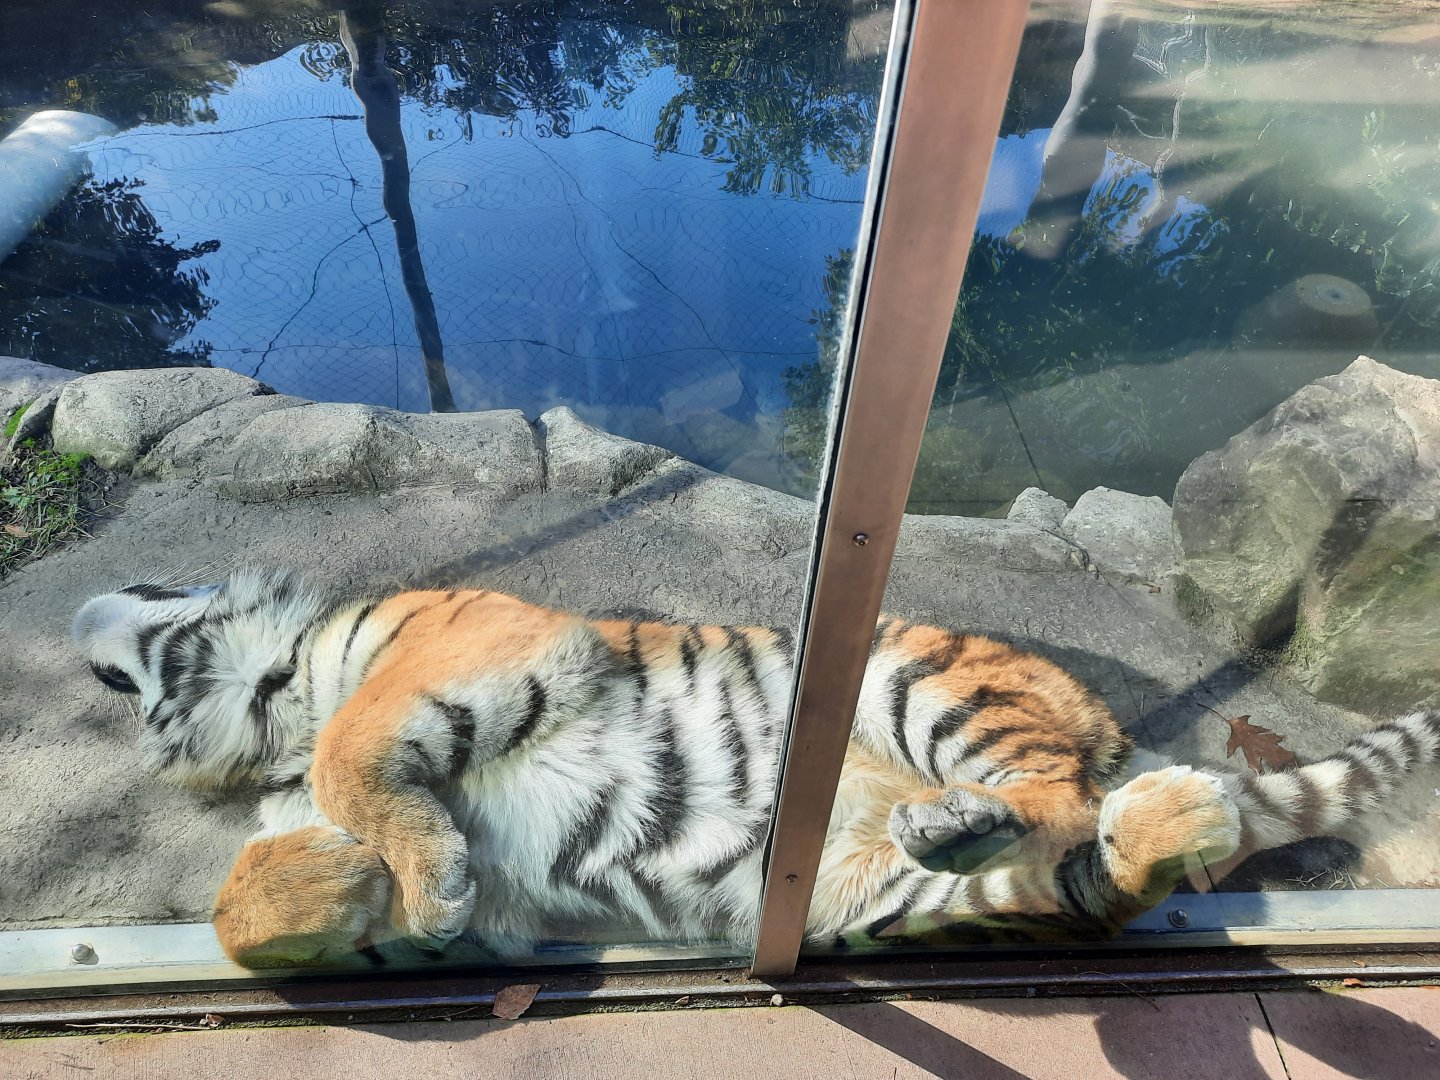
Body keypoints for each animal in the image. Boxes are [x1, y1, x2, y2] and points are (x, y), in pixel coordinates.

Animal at [71, 568, 1440, 968]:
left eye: (144, 589)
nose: (83, 634)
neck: (277, 700)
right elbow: (239, 906)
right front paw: (336, 884)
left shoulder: (471, 638)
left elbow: (361, 750)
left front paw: (424, 878)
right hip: (879, 905)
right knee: (1089, 873)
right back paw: (1150, 821)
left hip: (915, 673)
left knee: (1060, 796)